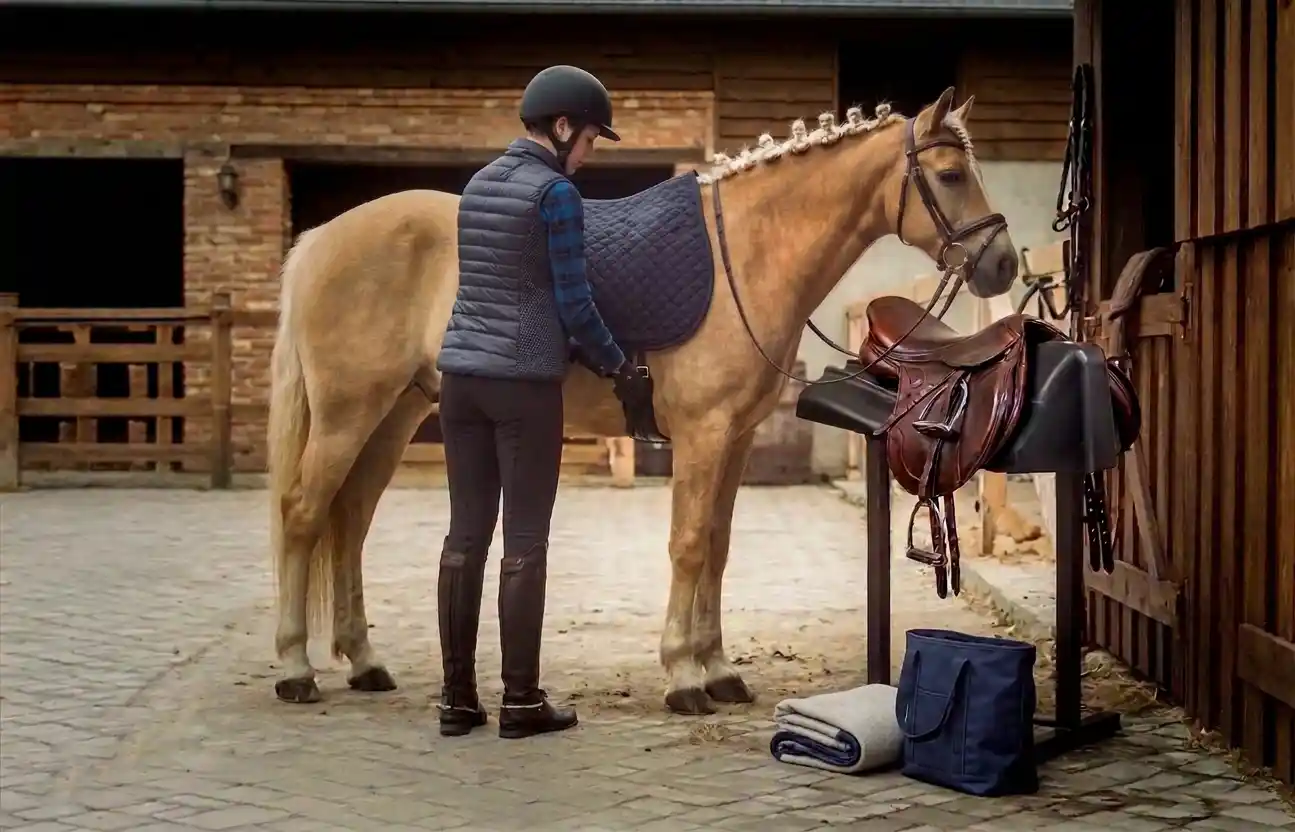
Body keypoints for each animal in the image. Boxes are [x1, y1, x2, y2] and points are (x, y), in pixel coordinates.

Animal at [267, 86, 1019, 714]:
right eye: (950, 175)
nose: (1003, 263)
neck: (744, 261)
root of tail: (321, 239)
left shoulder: (736, 440)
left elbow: (716, 546)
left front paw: (718, 670)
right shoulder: (703, 436)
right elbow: (687, 545)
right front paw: (683, 677)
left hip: (393, 415)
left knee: (350, 520)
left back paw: (363, 662)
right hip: (348, 413)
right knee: (304, 514)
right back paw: (296, 669)